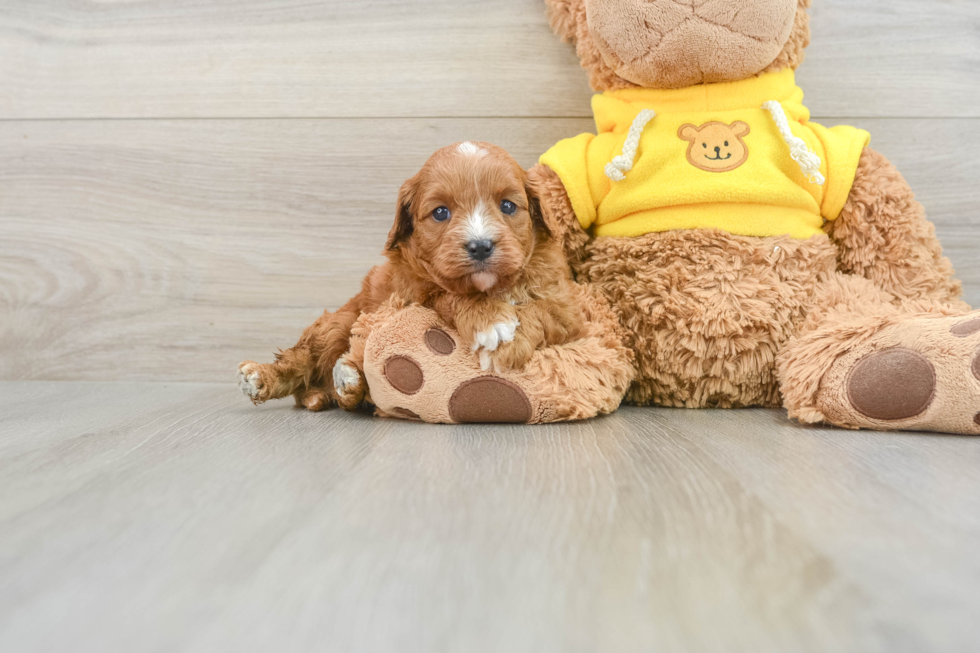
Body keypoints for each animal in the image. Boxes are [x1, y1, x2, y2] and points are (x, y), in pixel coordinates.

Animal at [238, 141, 584, 410]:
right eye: (441, 212)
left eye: (508, 206)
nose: (481, 246)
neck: (489, 288)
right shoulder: (410, 292)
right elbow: (447, 293)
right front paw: (492, 324)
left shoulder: (565, 307)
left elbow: (540, 311)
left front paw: (506, 340)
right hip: (337, 324)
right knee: (302, 358)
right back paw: (263, 377)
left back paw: (344, 381)